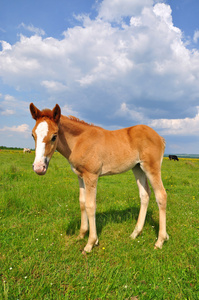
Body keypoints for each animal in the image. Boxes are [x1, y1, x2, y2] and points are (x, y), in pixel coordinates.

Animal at [29, 103, 169, 253]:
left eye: (54, 136)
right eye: (33, 135)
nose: (39, 167)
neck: (80, 142)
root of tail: (160, 137)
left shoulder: (91, 175)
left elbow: (91, 205)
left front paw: (90, 243)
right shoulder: (80, 176)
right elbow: (82, 203)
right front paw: (81, 234)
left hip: (151, 168)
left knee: (161, 195)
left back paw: (160, 240)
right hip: (137, 168)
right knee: (145, 195)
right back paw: (135, 233)